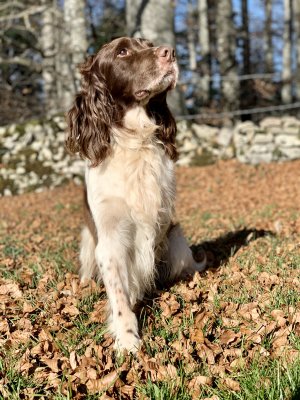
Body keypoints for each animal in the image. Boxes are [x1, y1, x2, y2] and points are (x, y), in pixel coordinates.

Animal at [65, 36, 206, 352]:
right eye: (122, 51)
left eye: (149, 43)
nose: (171, 52)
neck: (134, 143)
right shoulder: (110, 237)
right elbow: (119, 293)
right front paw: (127, 338)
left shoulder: (158, 220)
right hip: (87, 241)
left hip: (177, 239)